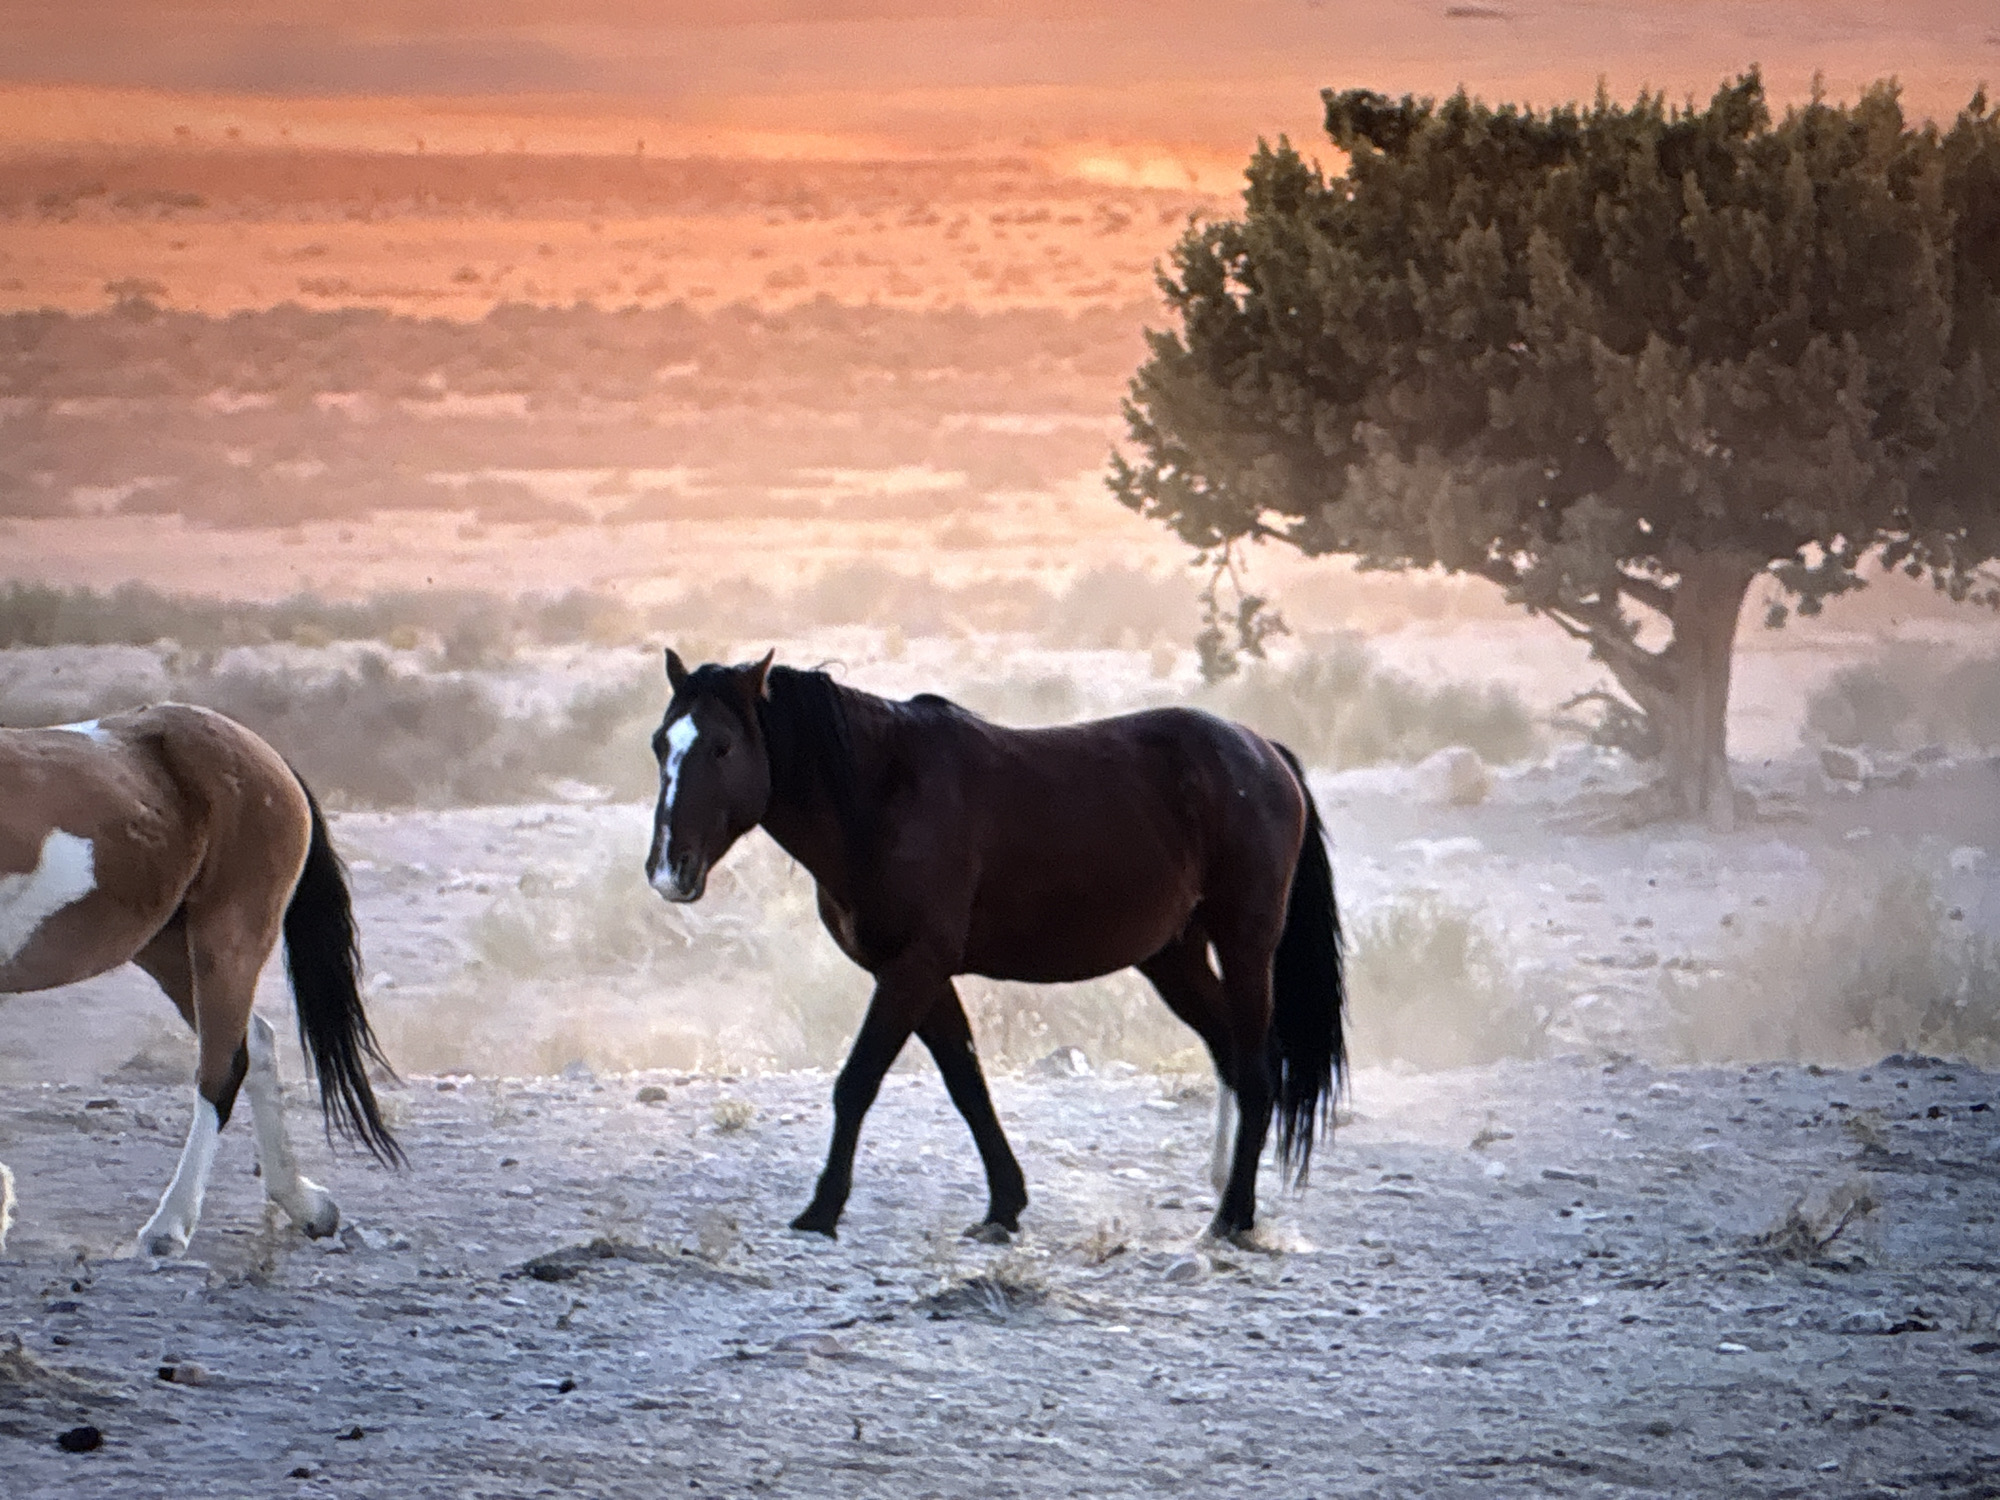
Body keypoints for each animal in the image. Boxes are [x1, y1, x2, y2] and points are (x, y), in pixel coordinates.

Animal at [0, 704, 402, 1257]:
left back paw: (168, 1227)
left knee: (223, 1069)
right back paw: (306, 1206)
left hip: (227, 942)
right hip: (169, 952)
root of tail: (269, 760)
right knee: (256, 1044)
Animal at [643, 651, 1346, 1244]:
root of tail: (1264, 753)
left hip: (1246, 945)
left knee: (1257, 1069)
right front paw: (1004, 1207)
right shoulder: (919, 976)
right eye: (659, 745)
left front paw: (821, 1210)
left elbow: (858, 1082)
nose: (668, 871)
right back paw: (1226, 1196)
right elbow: (968, 1085)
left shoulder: (913, 969)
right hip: (1174, 958)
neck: (884, 796)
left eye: (722, 746)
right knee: (1235, 1058)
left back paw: (1232, 1217)